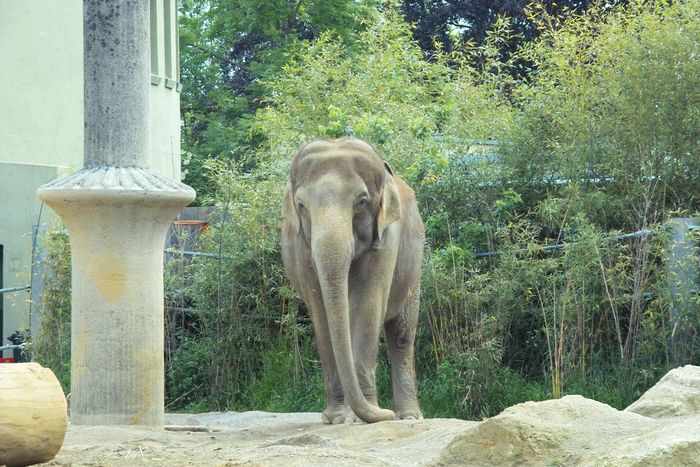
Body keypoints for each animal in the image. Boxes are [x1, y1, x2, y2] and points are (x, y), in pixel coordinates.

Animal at [282, 136, 424, 424]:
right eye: (301, 206)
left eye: (361, 201)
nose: (385, 414)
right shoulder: (301, 247)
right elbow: (321, 312)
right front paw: (337, 419)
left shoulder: (387, 237)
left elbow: (367, 305)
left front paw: (358, 418)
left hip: (415, 269)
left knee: (402, 335)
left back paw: (409, 417)